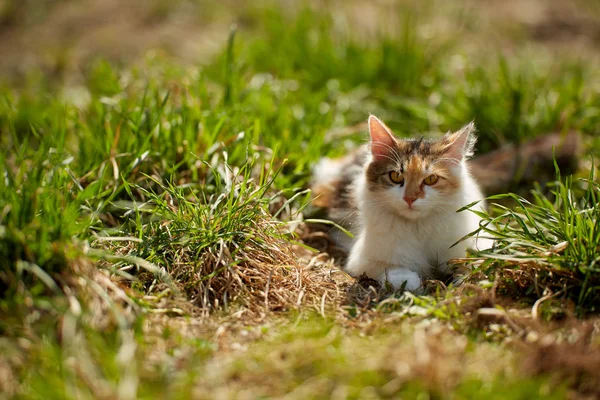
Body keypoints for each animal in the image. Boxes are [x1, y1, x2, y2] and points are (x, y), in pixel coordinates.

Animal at [312, 115, 490, 290]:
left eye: (431, 179)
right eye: (396, 176)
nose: (410, 198)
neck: (418, 227)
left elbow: (474, 261)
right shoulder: (365, 259)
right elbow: (395, 271)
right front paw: (412, 282)